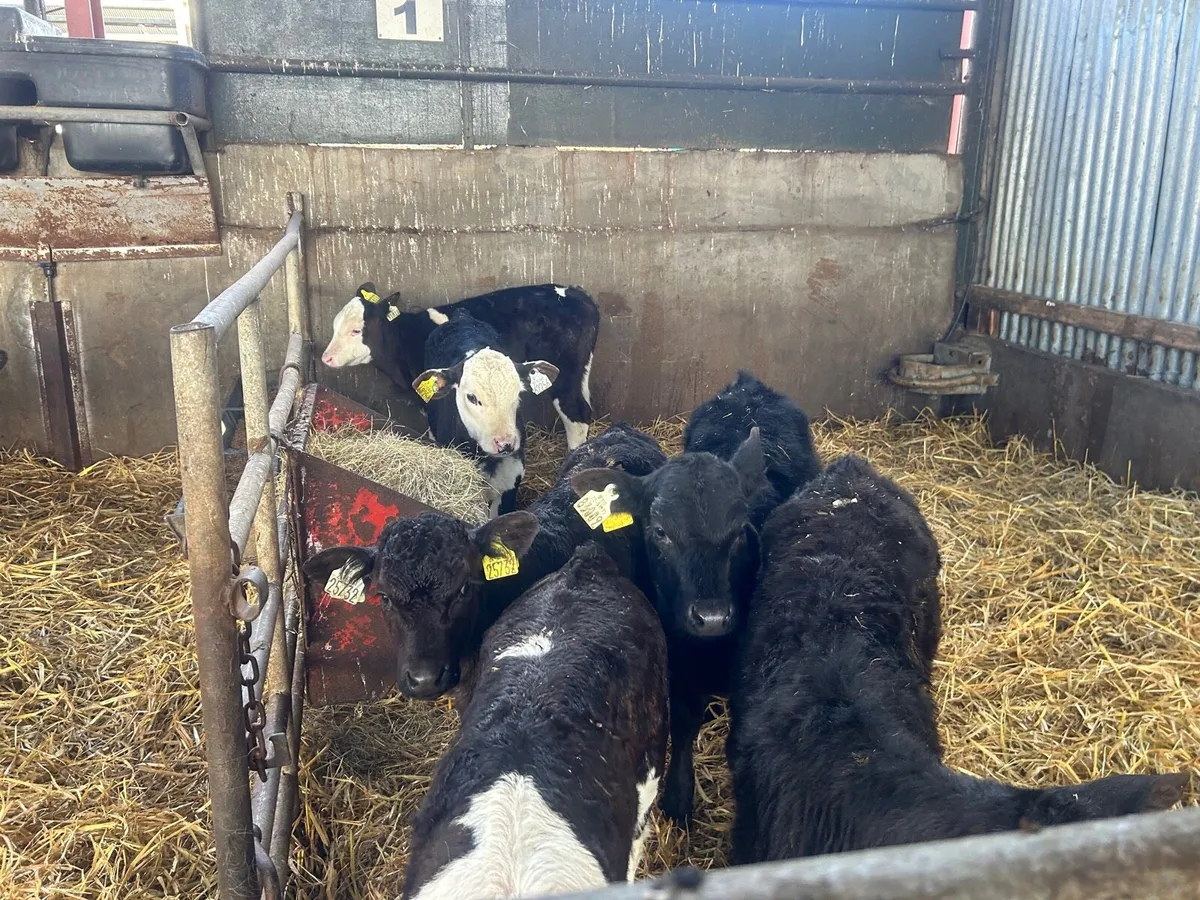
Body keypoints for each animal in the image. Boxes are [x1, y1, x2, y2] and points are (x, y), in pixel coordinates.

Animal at [320, 282, 599, 449]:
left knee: (576, 415)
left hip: (565, 375)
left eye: (356, 330)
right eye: (334, 325)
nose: (326, 358)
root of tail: (577, 294)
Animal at [570, 372, 821, 826]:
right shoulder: (677, 662)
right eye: (660, 531)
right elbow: (684, 723)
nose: (713, 616)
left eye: (740, 531)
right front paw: (678, 796)